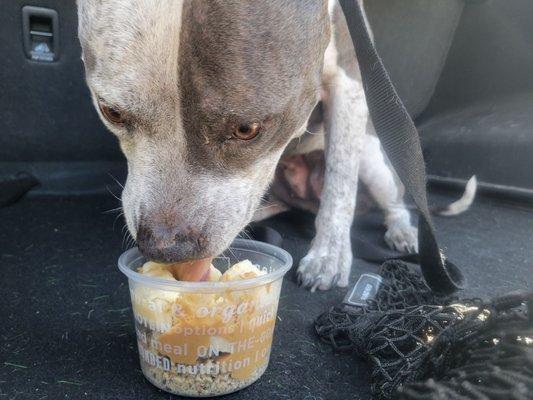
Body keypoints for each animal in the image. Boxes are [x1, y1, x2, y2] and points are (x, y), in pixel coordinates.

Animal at [77, 0, 418, 290]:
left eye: (246, 129)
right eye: (111, 112)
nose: (165, 246)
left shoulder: (349, 83)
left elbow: (341, 182)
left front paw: (328, 256)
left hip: (374, 161)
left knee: (394, 199)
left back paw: (403, 231)